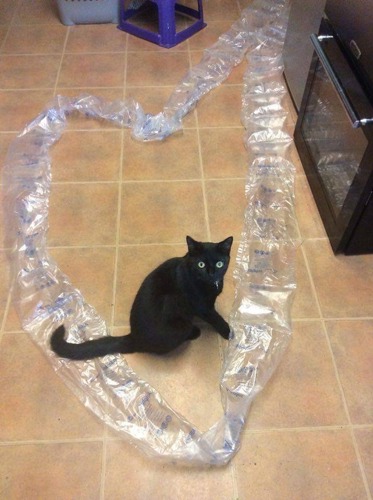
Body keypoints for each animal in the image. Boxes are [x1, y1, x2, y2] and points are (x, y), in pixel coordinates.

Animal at [50, 235, 231, 360]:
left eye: (219, 264)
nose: (211, 273)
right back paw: (193, 332)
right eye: (201, 264)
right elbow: (215, 317)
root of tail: (134, 338)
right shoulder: (201, 306)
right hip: (175, 313)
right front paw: (228, 331)